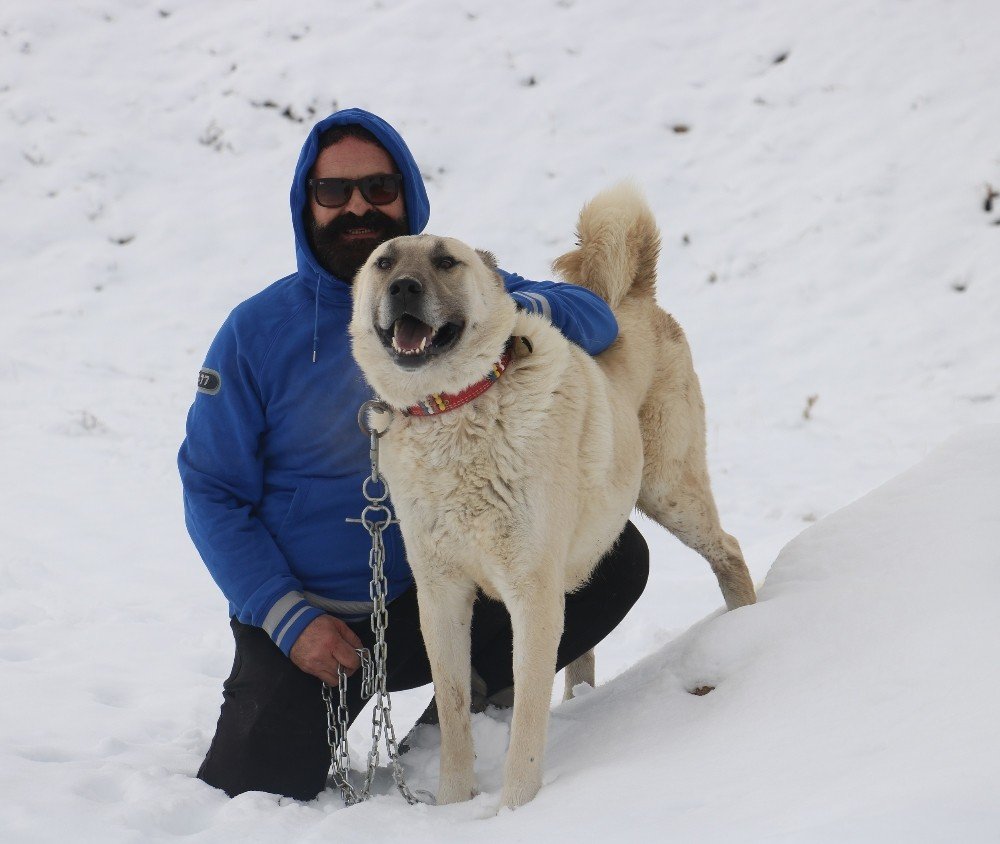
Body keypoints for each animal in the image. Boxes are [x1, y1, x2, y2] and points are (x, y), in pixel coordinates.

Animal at [350, 181, 752, 808]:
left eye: (445, 261)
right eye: (385, 262)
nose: (403, 288)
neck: (456, 410)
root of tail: (638, 294)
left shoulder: (531, 594)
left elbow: (527, 718)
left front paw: (516, 809)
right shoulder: (442, 596)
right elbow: (456, 711)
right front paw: (452, 805)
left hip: (670, 492)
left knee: (729, 549)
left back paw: (749, 624)